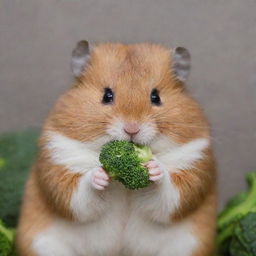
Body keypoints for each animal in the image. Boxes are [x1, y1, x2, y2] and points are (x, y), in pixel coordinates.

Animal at [15, 41, 216, 256]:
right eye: (107, 95)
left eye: (156, 97)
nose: (132, 129)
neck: (122, 184)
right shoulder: (58, 161)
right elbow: (78, 195)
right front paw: (100, 175)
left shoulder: (195, 165)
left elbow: (170, 195)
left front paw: (154, 168)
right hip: (45, 245)